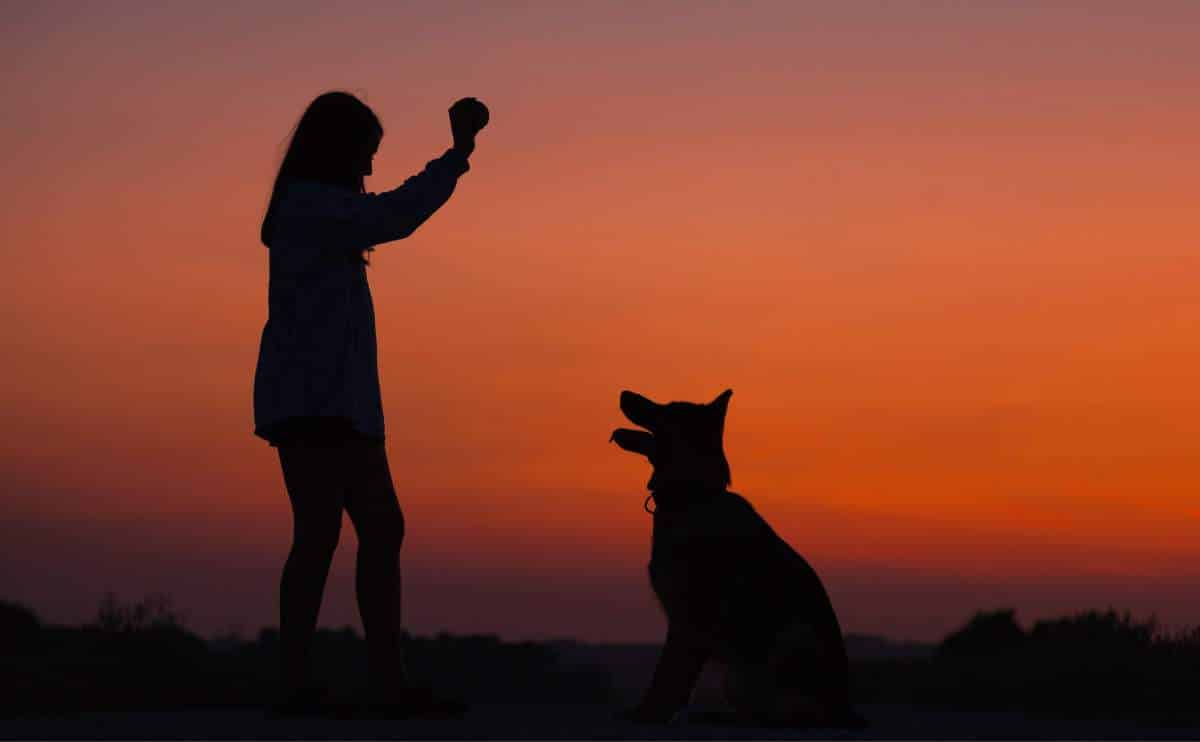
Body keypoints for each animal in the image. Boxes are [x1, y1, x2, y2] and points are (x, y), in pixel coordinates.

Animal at [609, 389, 864, 725]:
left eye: (668, 408)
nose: (624, 393)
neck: (694, 496)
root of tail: (845, 709)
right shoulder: (686, 622)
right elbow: (674, 678)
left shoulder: (692, 618)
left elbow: (667, 675)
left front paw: (650, 714)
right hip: (735, 678)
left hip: (788, 641)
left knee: (787, 712)